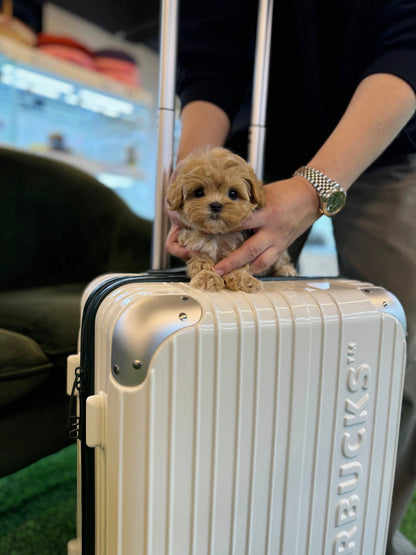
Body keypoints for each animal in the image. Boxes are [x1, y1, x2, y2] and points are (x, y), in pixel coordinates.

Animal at [166, 148, 296, 296]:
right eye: (199, 192)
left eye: (233, 194)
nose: (216, 205)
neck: (217, 233)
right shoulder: (195, 248)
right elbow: (201, 262)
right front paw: (208, 277)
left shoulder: (239, 248)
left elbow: (239, 264)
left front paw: (244, 280)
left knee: (282, 259)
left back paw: (286, 270)